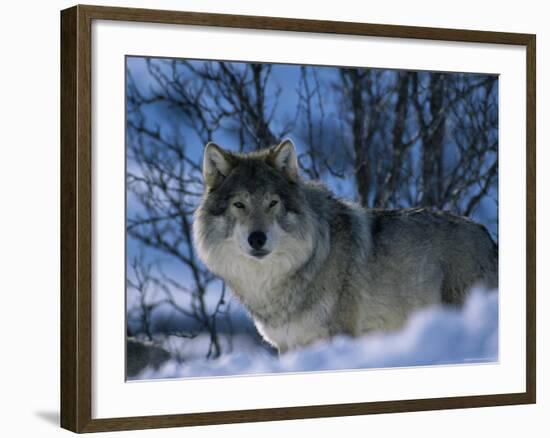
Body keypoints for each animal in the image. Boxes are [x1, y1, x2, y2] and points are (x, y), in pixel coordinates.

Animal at [194, 140, 500, 352]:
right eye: (239, 205)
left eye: (272, 203)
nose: (257, 238)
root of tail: (487, 236)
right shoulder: (288, 345)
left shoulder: (339, 335)